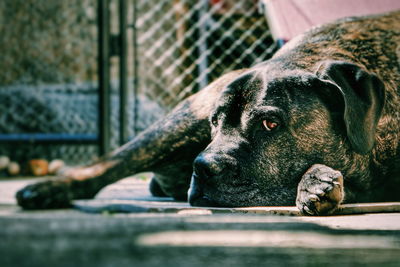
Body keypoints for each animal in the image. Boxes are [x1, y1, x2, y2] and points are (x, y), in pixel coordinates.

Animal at [17, 11, 398, 216]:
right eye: (215, 123)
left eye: (270, 123)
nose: (201, 166)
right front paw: (318, 181)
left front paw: (317, 182)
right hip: (179, 121)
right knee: (108, 163)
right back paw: (48, 189)